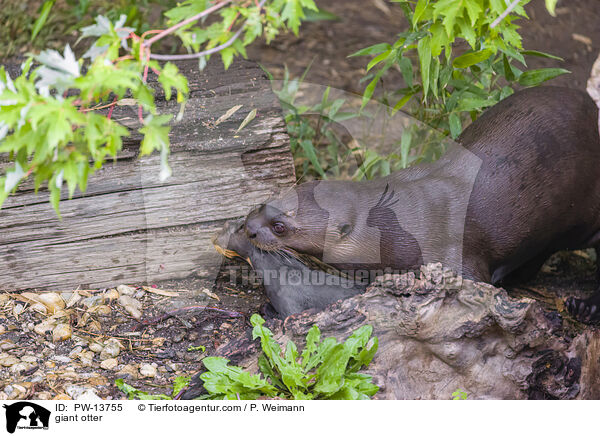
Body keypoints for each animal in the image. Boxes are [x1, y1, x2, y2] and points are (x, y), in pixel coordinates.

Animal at [244, 87, 600, 322]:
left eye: (280, 227)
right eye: (266, 201)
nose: (248, 228)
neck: (401, 228)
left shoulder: (455, 255)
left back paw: (585, 307)